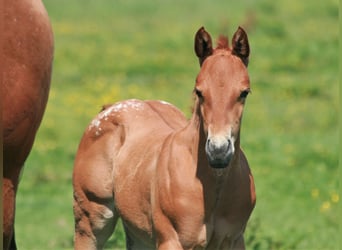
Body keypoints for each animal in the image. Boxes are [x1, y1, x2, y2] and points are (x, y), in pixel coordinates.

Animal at [74, 26, 256, 249]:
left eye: (244, 92)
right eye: (199, 92)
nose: (218, 151)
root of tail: (110, 107)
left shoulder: (235, 239)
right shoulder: (171, 240)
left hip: (139, 232)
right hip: (91, 222)